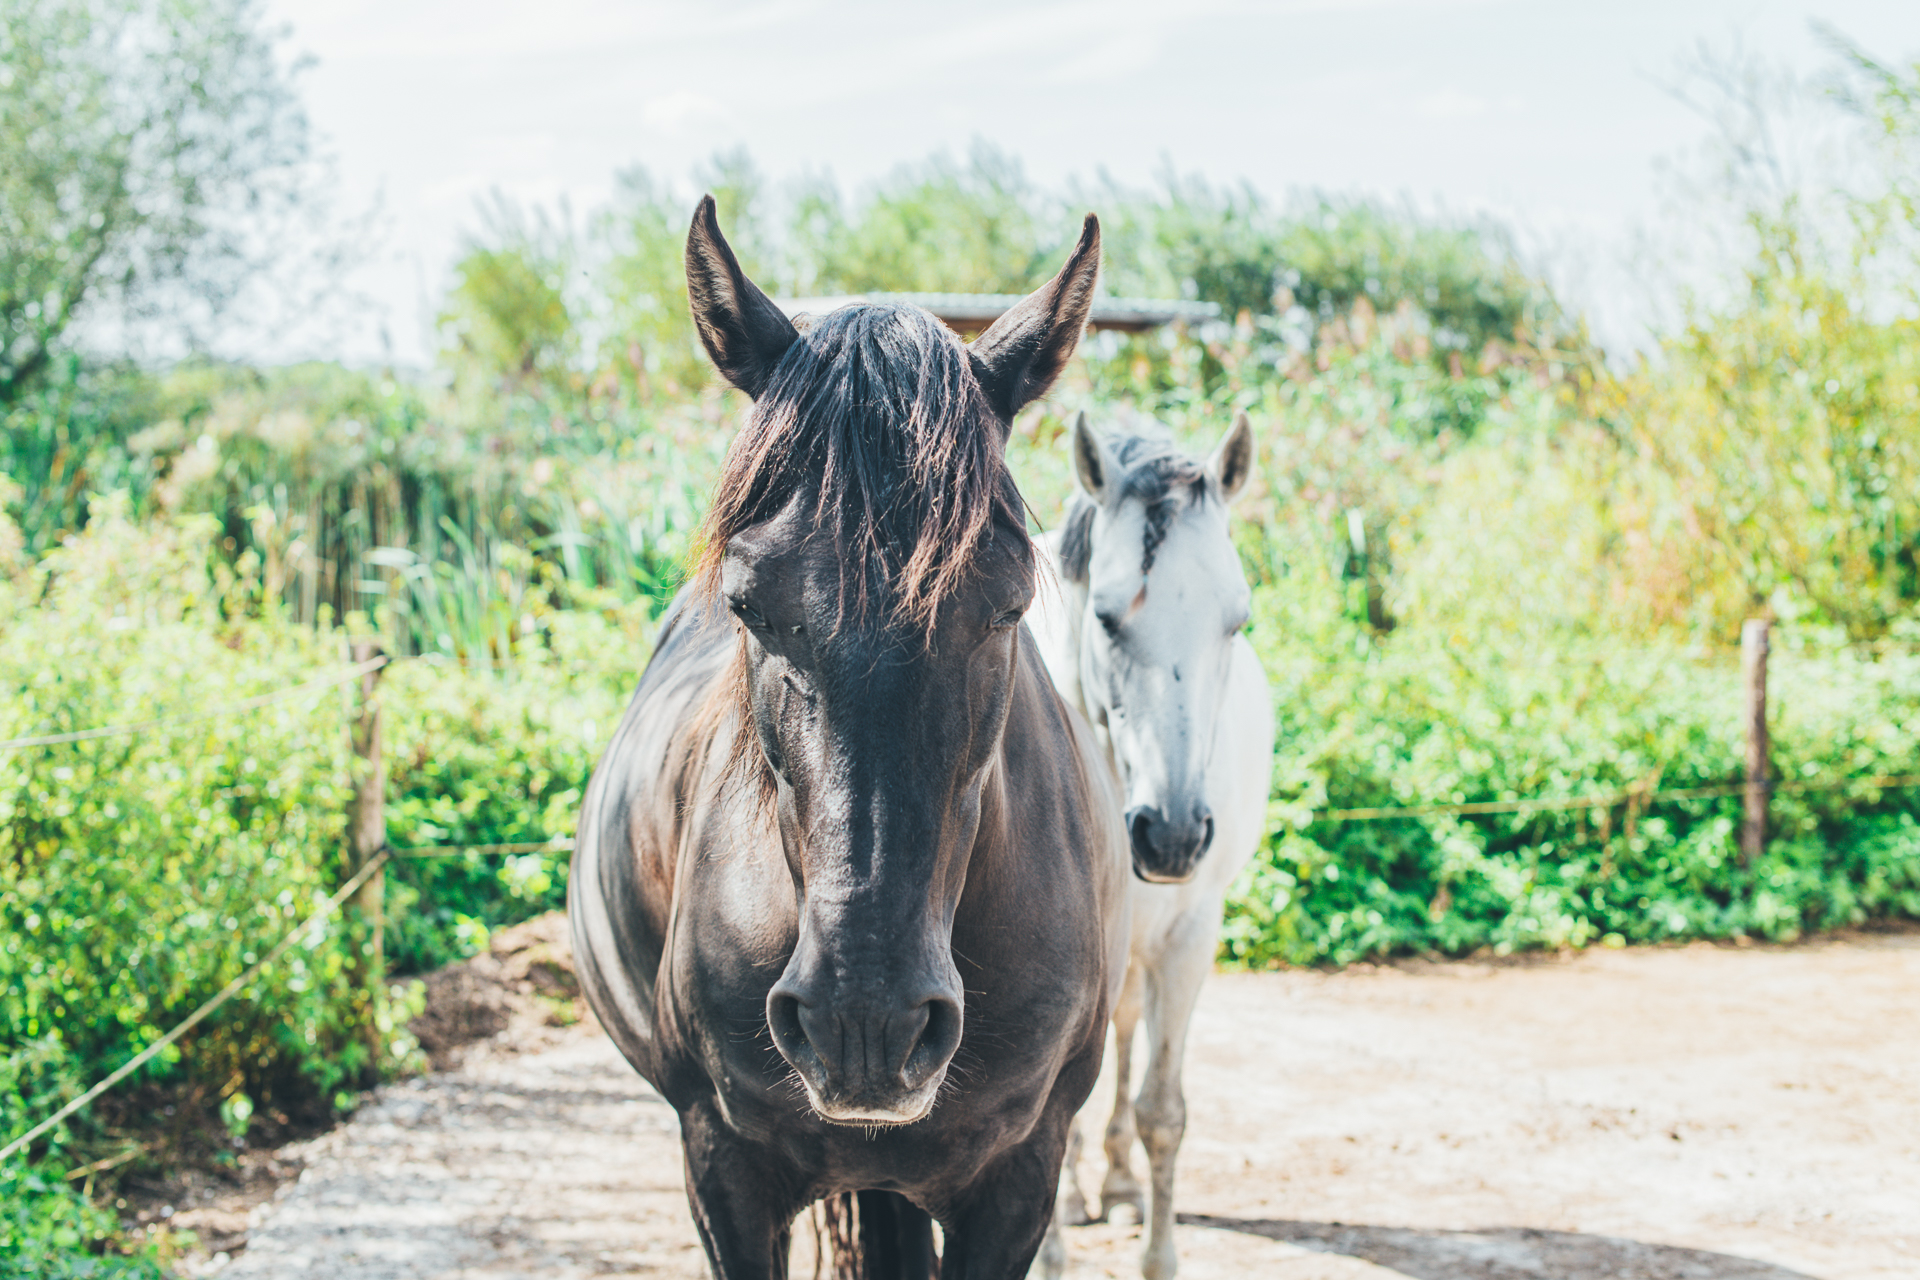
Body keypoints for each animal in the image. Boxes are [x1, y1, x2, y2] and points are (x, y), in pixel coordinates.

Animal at [1036, 410, 1274, 1280]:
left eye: (1237, 619)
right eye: (1107, 618)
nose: (1171, 836)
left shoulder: (1189, 938)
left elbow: (1163, 1113)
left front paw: (1158, 1252)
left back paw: (1113, 1184)